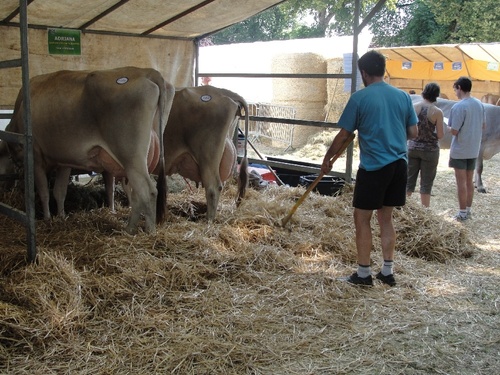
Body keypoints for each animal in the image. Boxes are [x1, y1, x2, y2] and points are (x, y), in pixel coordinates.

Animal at [4, 66, 174, 234]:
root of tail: (147, 72)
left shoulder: (36, 155)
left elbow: (44, 192)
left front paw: (47, 219)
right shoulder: (64, 162)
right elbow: (59, 191)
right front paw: (61, 216)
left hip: (131, 157)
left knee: (148, 191)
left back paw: (149, 232)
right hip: (143, 157)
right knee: (138, 193)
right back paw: (129, 229)